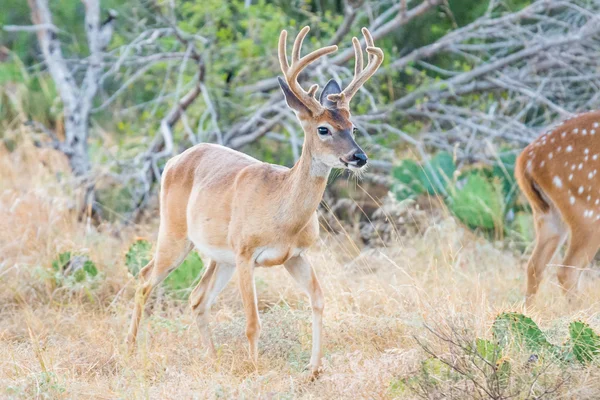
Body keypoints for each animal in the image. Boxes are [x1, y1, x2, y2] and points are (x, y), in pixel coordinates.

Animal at [126, 26, 384, 376]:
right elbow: (252, 322)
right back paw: (130, 349)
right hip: (175, 233)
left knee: (197, 297)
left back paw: (212, 358)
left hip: (219, 256)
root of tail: (172, 160)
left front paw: (314, 368)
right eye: (324, 129)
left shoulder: (295, 255)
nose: (359, 157)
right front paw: (255, 368)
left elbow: (318, 299)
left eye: (353, 126)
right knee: (144, 278)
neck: (281, 215)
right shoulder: (246, 252)